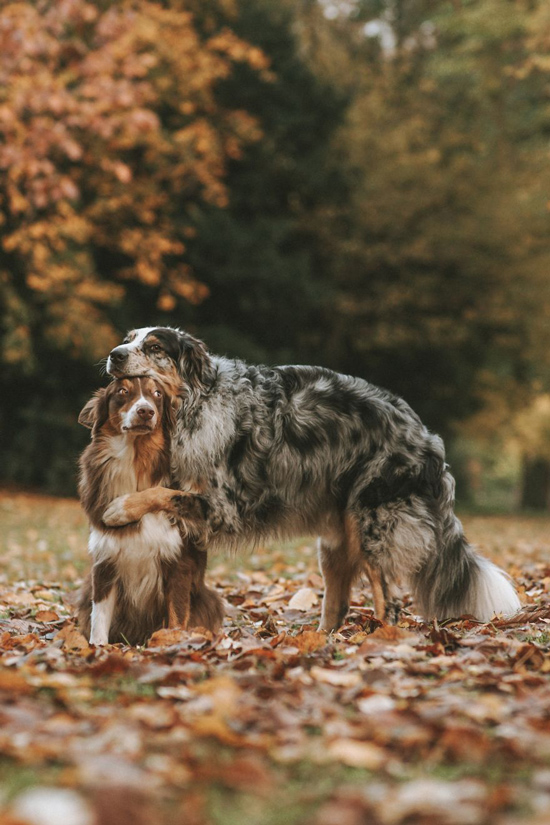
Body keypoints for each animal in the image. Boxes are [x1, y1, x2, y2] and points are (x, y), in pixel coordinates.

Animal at [77, 376, 224, 648]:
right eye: (122, 391)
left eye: (157, 394)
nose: (146, 411)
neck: (137, 457)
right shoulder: (105, 561)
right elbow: (99, 620)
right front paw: (97, 649)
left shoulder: (179, 563)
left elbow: (176, 617)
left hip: (209, 600)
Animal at [103, 326, 520, 628]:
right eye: (128, 339)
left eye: (154, 347)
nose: (114, 354)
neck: (196, 402)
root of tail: (427, 438)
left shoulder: (224, 505)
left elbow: (161, 493)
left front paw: (119, 508)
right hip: (335, 542)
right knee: (337, 605)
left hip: (373, 525)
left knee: (388, 602)